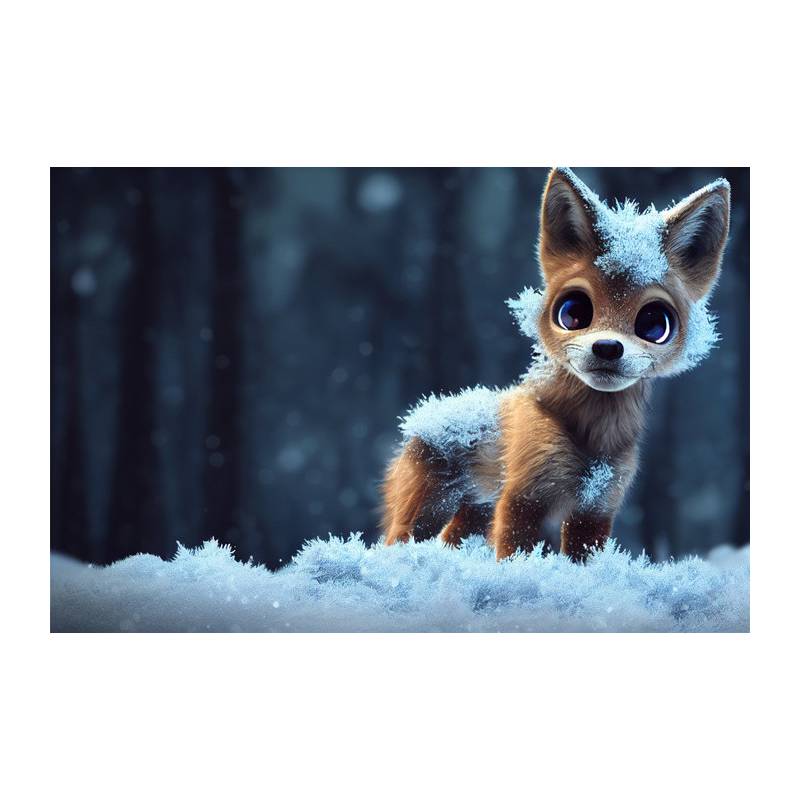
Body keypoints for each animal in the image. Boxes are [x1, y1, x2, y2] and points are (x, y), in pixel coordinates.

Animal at [381, 167, 730, 561]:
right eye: (573, 312)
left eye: (655, 324)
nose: (607, 347)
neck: (594, 441)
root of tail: (425, 413)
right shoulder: (523, 497)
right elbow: (515, 553)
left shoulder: (596, 508)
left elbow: (583, 560)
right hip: (429, 508)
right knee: (397, 539)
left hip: (475, 513)